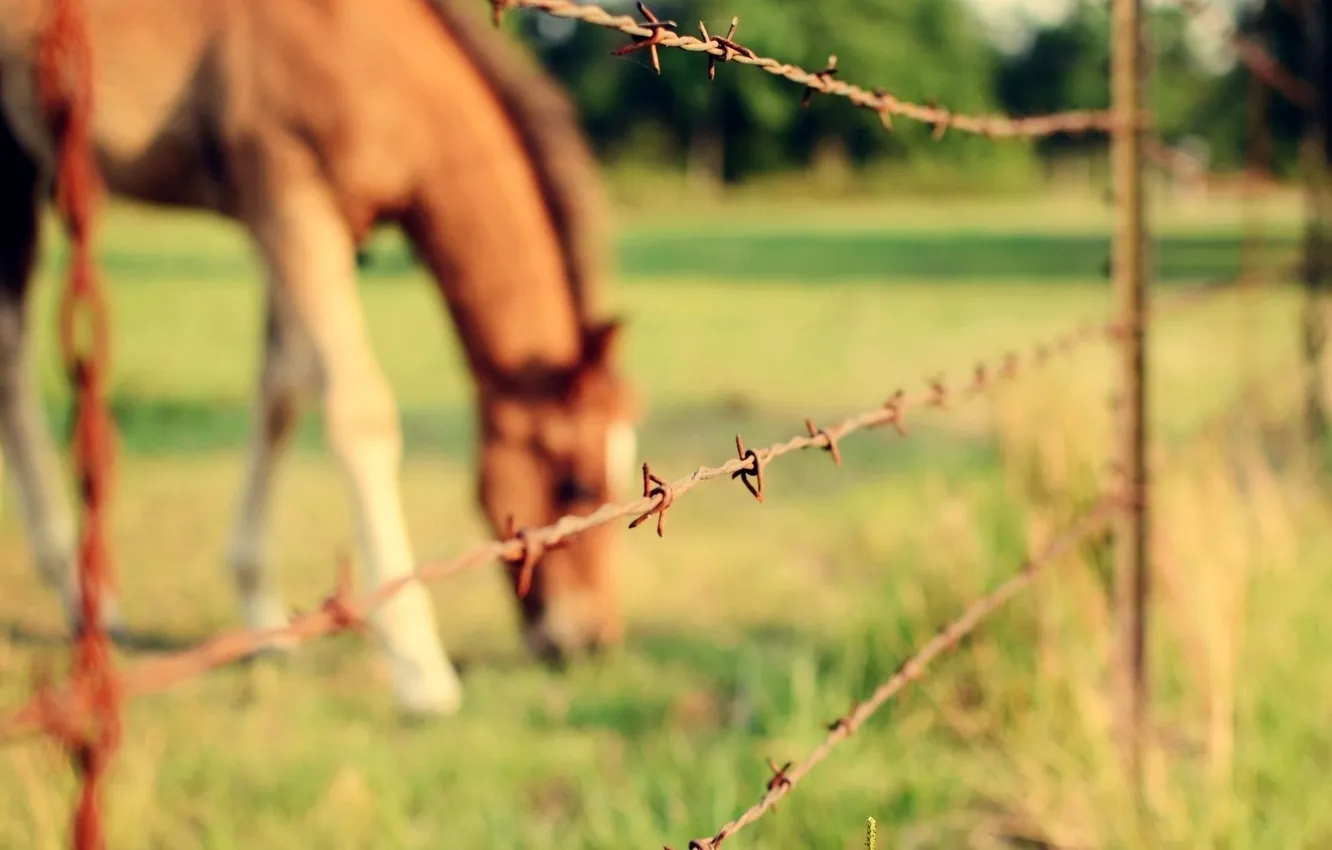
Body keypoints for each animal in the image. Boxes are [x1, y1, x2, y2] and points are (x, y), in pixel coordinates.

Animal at [0, 0, 639, 717]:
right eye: (577, 484)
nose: (592, 640)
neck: (367, 54)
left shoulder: (310, 229)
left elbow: (282, 392)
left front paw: (264, 620)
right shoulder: (291, 201)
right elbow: (359, 412)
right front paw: (419, 666)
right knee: (10, 352)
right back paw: (80, 593)